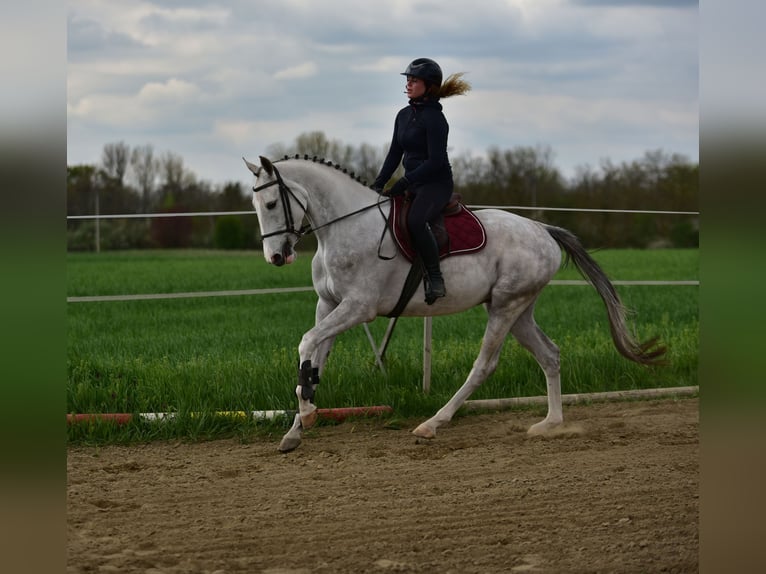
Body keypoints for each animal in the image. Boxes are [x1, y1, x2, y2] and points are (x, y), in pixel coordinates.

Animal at [243, 155, 665, 452]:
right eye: (257, 206)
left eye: (271, 204)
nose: (276, 257)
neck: (344, 226)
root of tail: (542, 229)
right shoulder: (328, 305)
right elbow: (316, 359)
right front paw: (296, 429)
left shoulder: (358, 308)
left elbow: (306, 343)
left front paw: (307, 412)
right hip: (518, 309)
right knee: (550, 354)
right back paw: (551, 424)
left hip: (505, 307)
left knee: (484, 366)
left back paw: (433, 423)